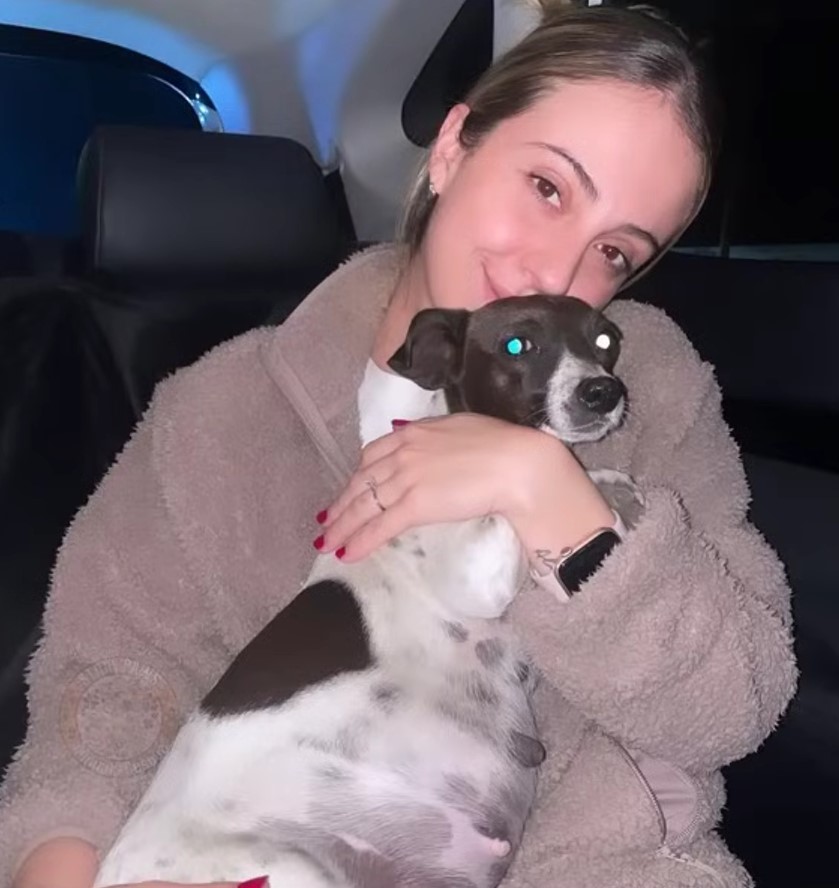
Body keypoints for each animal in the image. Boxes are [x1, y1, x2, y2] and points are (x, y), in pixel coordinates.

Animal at [92, 294, 632, 884]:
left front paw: (611, 493)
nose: (603, 391)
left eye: (606, 340)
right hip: (291, 870)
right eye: (518, 344)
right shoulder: (475, 572)